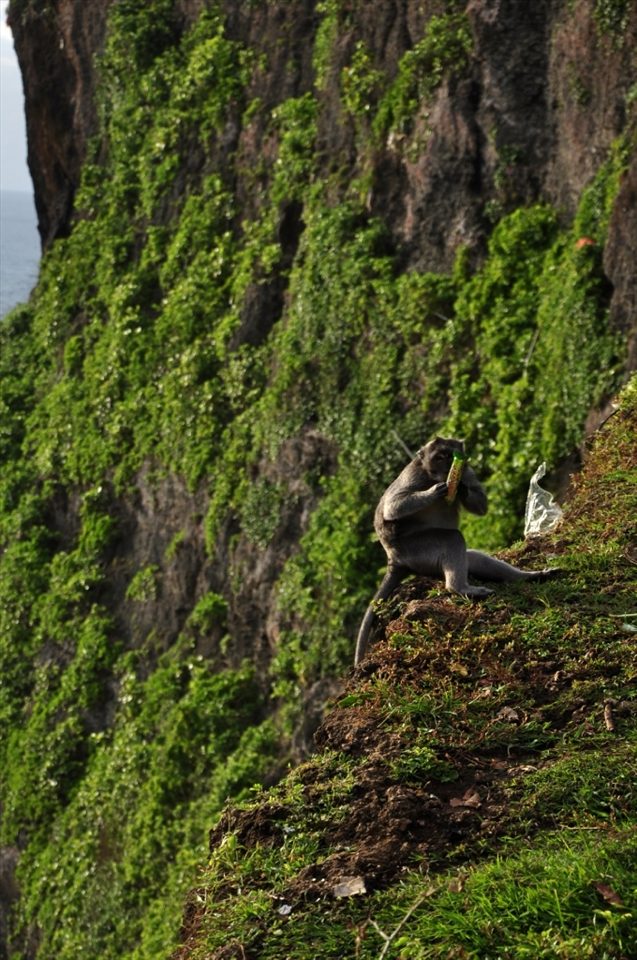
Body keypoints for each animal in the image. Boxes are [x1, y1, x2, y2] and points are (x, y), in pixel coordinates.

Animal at [354, 437, 559, 665]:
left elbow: (481, 506)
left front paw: (460, 487)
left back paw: (528, 577)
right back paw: (460, 588)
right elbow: (393, 507)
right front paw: (435, 491)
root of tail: (394, 559)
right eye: (439, 457)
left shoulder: (467, 470)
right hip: (414, 550)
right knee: (452, 539)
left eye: (450, 455)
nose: (447, 468)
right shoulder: (414, 475)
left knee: (473, 558)